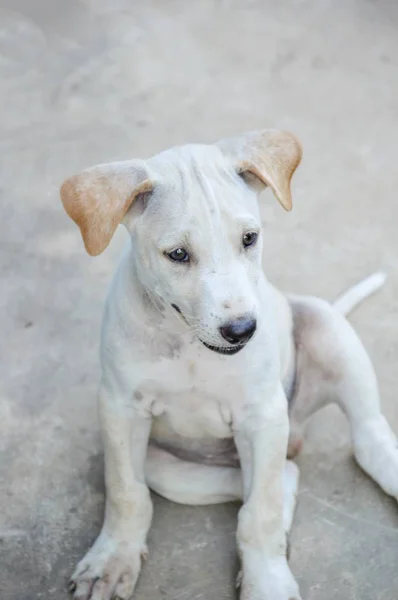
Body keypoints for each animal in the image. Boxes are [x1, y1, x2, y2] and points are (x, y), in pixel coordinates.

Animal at [59, 131, 398, 600]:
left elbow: (260, 513)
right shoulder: (120, 409)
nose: (242, 330)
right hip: (168, 468)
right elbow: (126, 492)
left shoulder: (262, 415)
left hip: (324, 328)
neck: (189, 343)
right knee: (277, 479)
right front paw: (112, 560)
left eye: (250, 238)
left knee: (367, 440)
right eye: (177, 254)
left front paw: (267, 581)